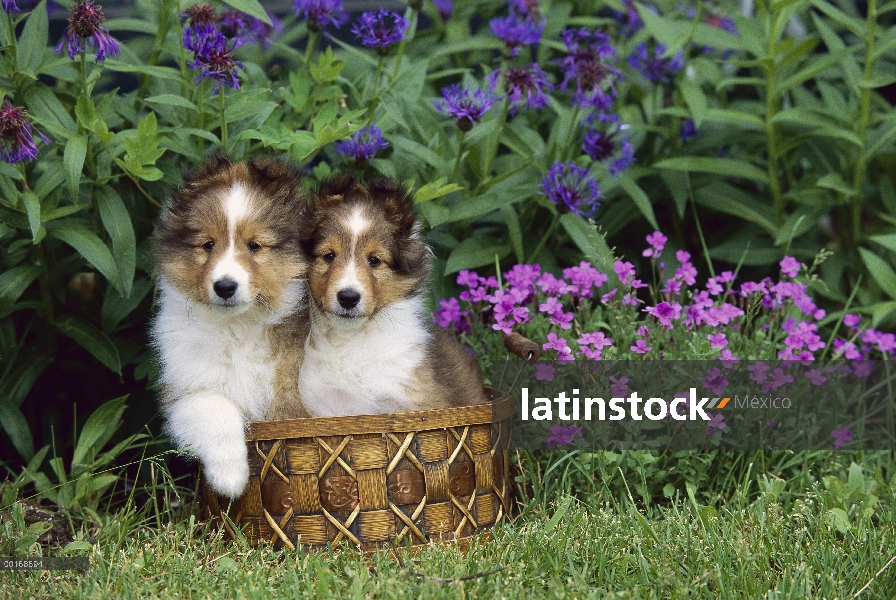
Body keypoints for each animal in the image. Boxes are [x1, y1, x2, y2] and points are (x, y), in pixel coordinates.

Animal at [152, 157, 310, 500]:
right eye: (208, 244)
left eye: (255, 246)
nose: (225, 286)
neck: (239, 325)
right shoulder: (187, 390)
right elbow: (215, 409)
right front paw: (231, 480)